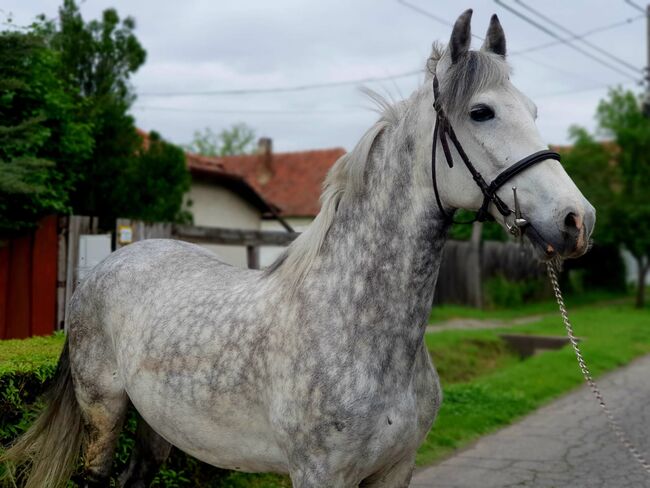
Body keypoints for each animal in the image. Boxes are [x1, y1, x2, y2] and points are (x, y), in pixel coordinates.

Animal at [3, 10, 592, 488]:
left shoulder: (394, 470)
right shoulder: (319, 474)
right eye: (482, 112)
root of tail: (105, 268)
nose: (577, 220)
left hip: (157, 428)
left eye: (533, 109)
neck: (356, 327)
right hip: (103, 413)